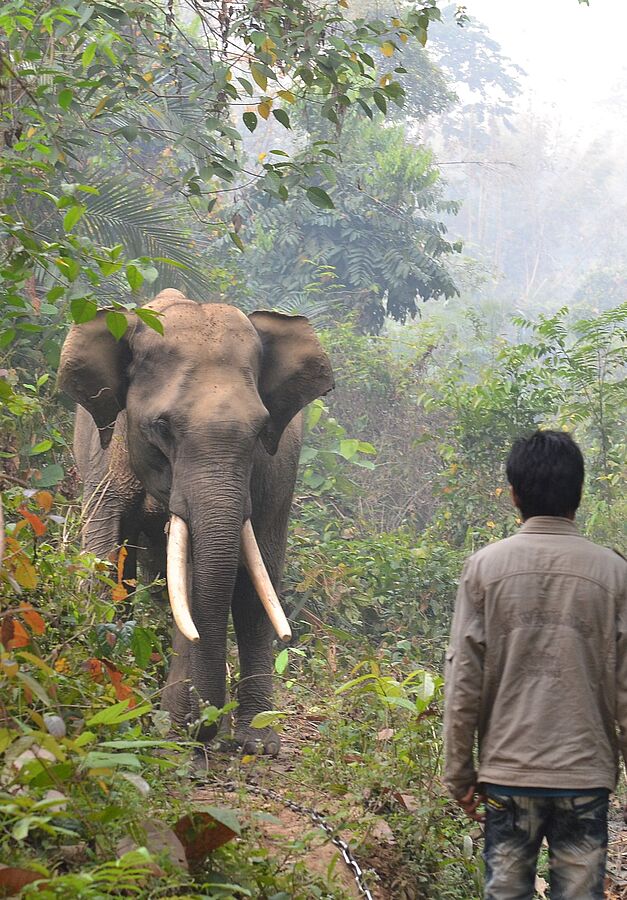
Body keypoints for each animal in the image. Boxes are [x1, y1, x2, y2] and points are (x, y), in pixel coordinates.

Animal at [58, 292, 334, 756]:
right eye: (161, 427)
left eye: (261, 429)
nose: (201, 727)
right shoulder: (105, 455)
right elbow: (105, 557)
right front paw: (115, 703)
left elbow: (205, 582)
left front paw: (174, 727)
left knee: (256, 588)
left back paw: (256, 743)